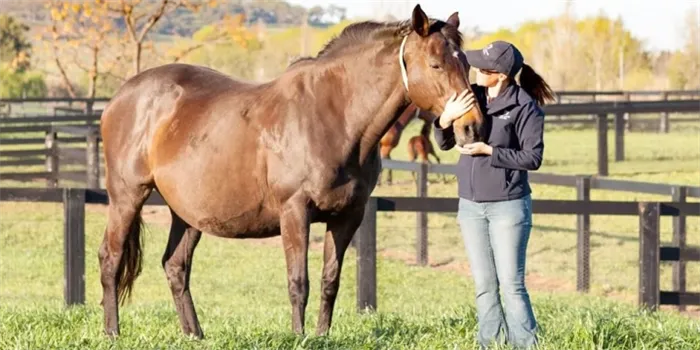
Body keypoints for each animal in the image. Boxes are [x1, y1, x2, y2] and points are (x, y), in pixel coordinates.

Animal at [97, 4, 482, 340]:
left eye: (465, 63)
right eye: (435, 64)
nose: (471, 128)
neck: (335, 117)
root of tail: (120, 96)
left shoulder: (348, 216)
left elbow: (330, 281)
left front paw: (322, 336)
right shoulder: (294, 211)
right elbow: (299, 282)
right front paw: (299, 336)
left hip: (188, 212)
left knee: (175, 266)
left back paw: (194, 335)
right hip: (127, 196)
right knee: (111, 259)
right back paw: (113, 332)